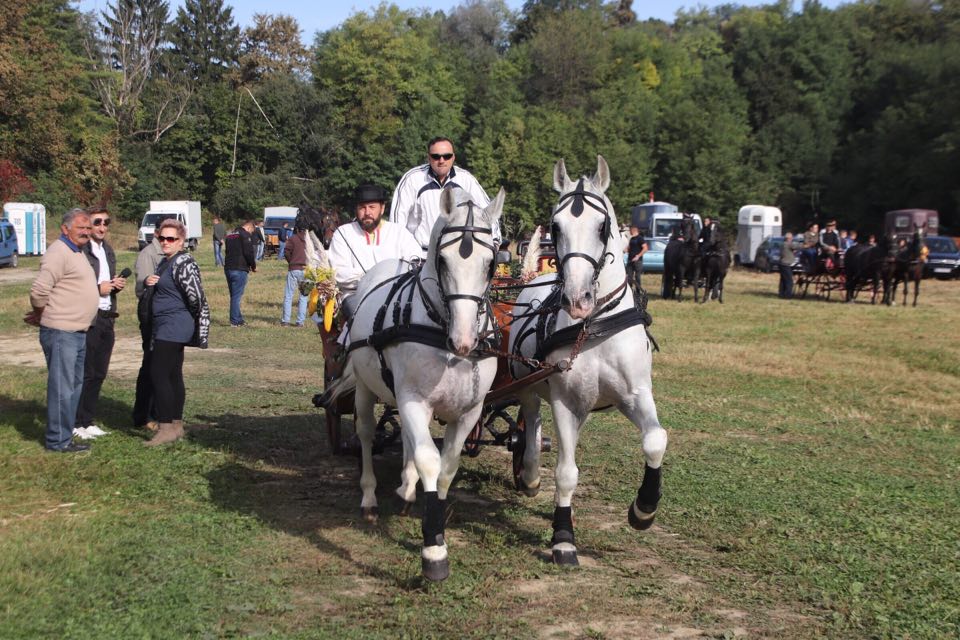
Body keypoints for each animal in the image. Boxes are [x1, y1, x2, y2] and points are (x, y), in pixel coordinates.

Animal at [319, 186, 505, 582]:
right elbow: (429, 460)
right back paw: (370, 498)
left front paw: (428, 511)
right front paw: (434, 552)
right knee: (367, 434)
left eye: (491, 264)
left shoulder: (469, 412)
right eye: (443, 260)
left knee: (405, 436)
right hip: (366, 387)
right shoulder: (414, 400)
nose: (464, 341)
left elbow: (447, 466)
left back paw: (405, 488)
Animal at [508, 156, 667, 566]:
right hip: (528, 385)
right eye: (555, 225)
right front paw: (563, 538)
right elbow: (566, 472)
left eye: (603, 226)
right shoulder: (566, 401)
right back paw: (529, 473)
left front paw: (644, 509)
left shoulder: (635, 394)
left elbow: (655, 440)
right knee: (531, 422)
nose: (577, 298)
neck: (593, 325)